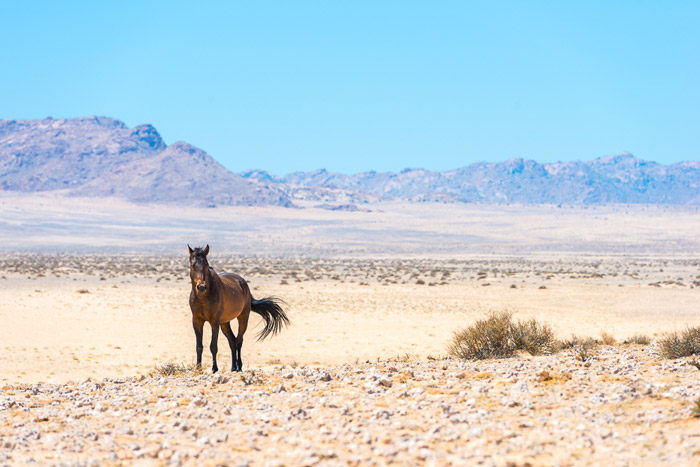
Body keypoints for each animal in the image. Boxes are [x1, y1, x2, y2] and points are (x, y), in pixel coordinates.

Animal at [188, 244, 289, 372]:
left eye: (206, 264)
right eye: (193, 265)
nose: (201, 287)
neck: (203, 297)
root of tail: (243, 282)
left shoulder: (214, 322)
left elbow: (213, 346)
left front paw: (214, 368)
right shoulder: (197, 321)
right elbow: (199, 346)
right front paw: (198, 368)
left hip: (243, 318)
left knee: (239, 340)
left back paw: (239, 367)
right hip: (225, 323)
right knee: (232, 341)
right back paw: (232, 367)